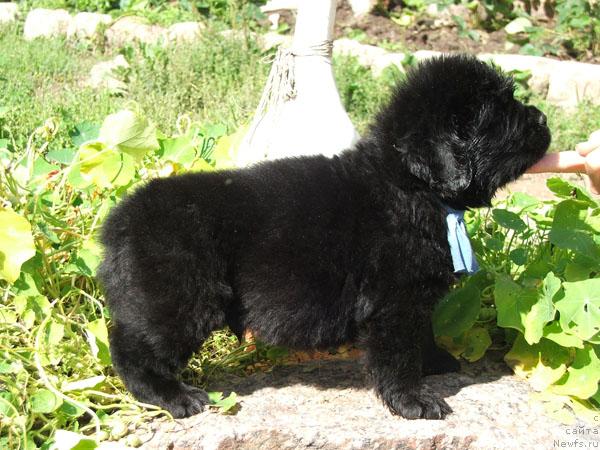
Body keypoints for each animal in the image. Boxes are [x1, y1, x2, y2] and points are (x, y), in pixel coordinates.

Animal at [97, 54, 548, 420]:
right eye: (499, 115)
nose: (543, 120)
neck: (406, 185)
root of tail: (117, 222)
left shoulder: (413, 299)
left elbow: (424, 333)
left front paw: (437, 362)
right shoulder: (395, 302)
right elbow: (399, 354)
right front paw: (413, 401)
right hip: (180, 300)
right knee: (131, 350)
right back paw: (175, 397)